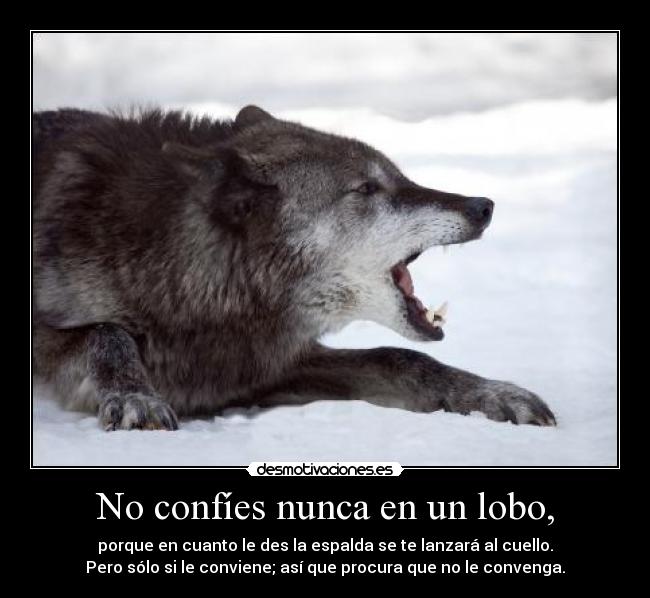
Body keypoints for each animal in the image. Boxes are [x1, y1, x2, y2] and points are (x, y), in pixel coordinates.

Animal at [32, 105, 556, 431]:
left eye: (400, 176)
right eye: (368, 189)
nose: (483, 206)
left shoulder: (274, 364)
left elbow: (402, 358)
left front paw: (495, 393)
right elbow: (106, 333)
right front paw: (135, 397)